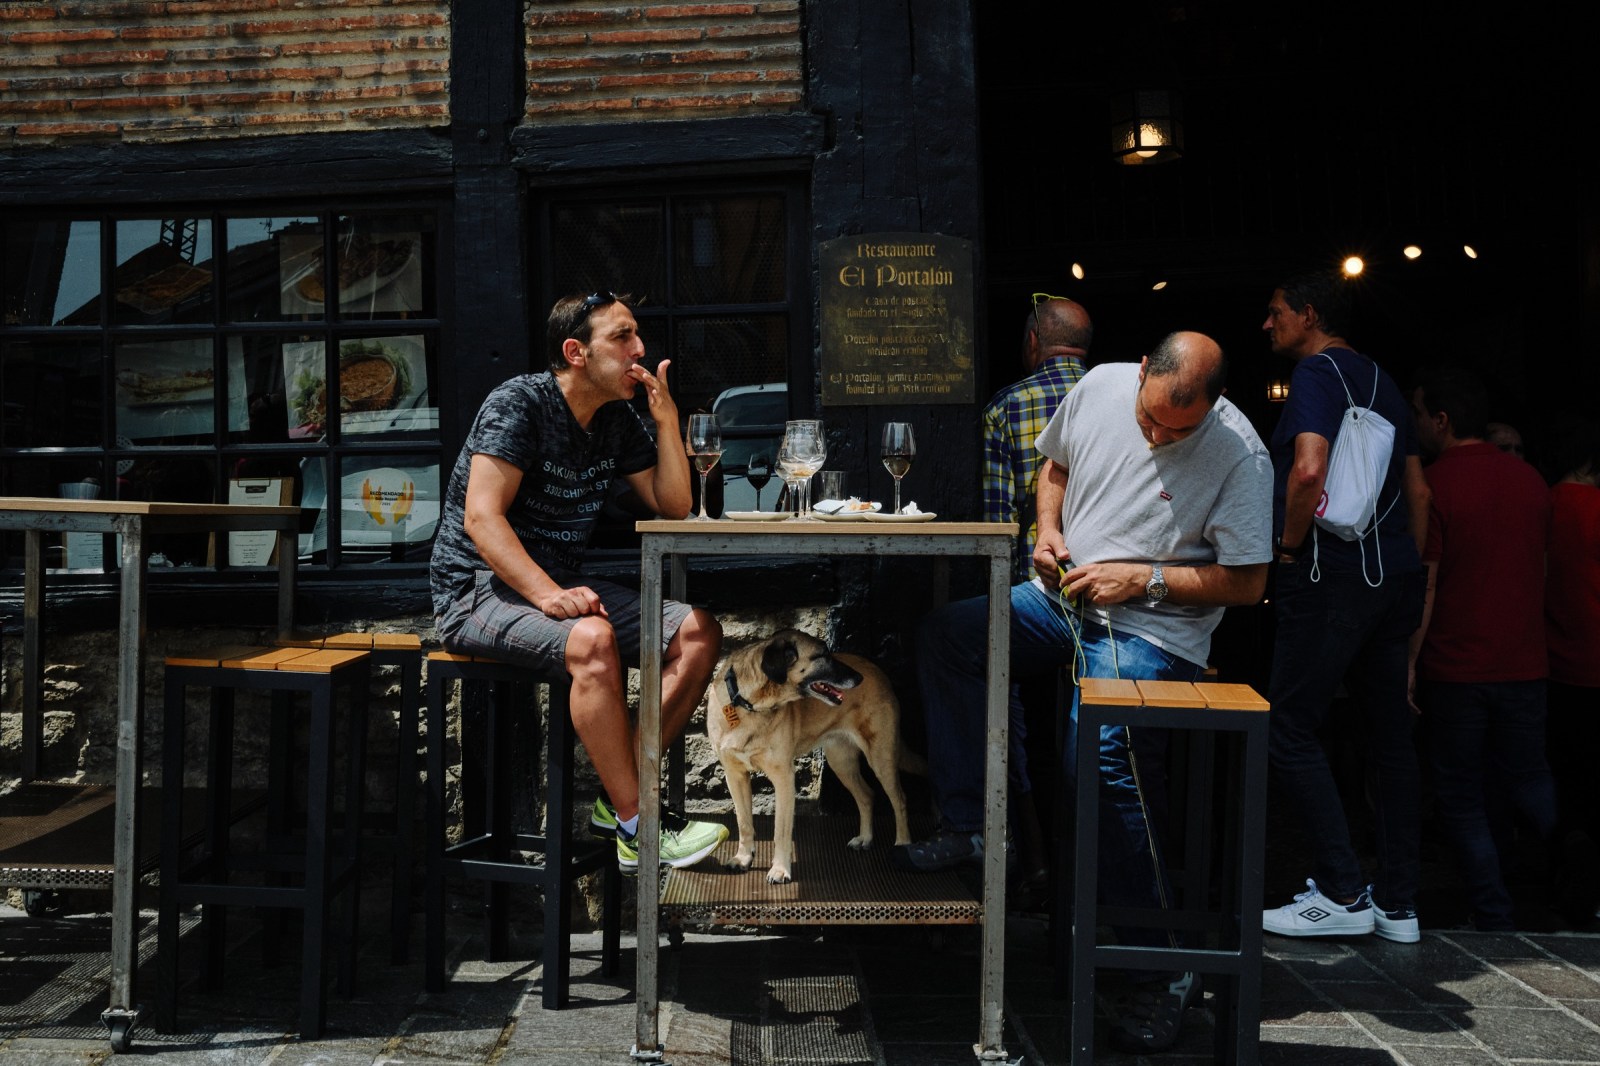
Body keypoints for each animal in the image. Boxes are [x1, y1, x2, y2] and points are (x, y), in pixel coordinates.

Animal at [706, 628, 923, 884]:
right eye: (822, 655)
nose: (858, 678)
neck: (750, 704)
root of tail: (879, 671)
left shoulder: (784, 778)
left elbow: (781, 830)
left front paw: (780, 870)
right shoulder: (735, 776)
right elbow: (744, 822)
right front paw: (743, 859)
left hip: (881, 756)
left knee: (899, 799)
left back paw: (903, 843)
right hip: (841, 762)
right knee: (867, 795)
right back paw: (865, 838)